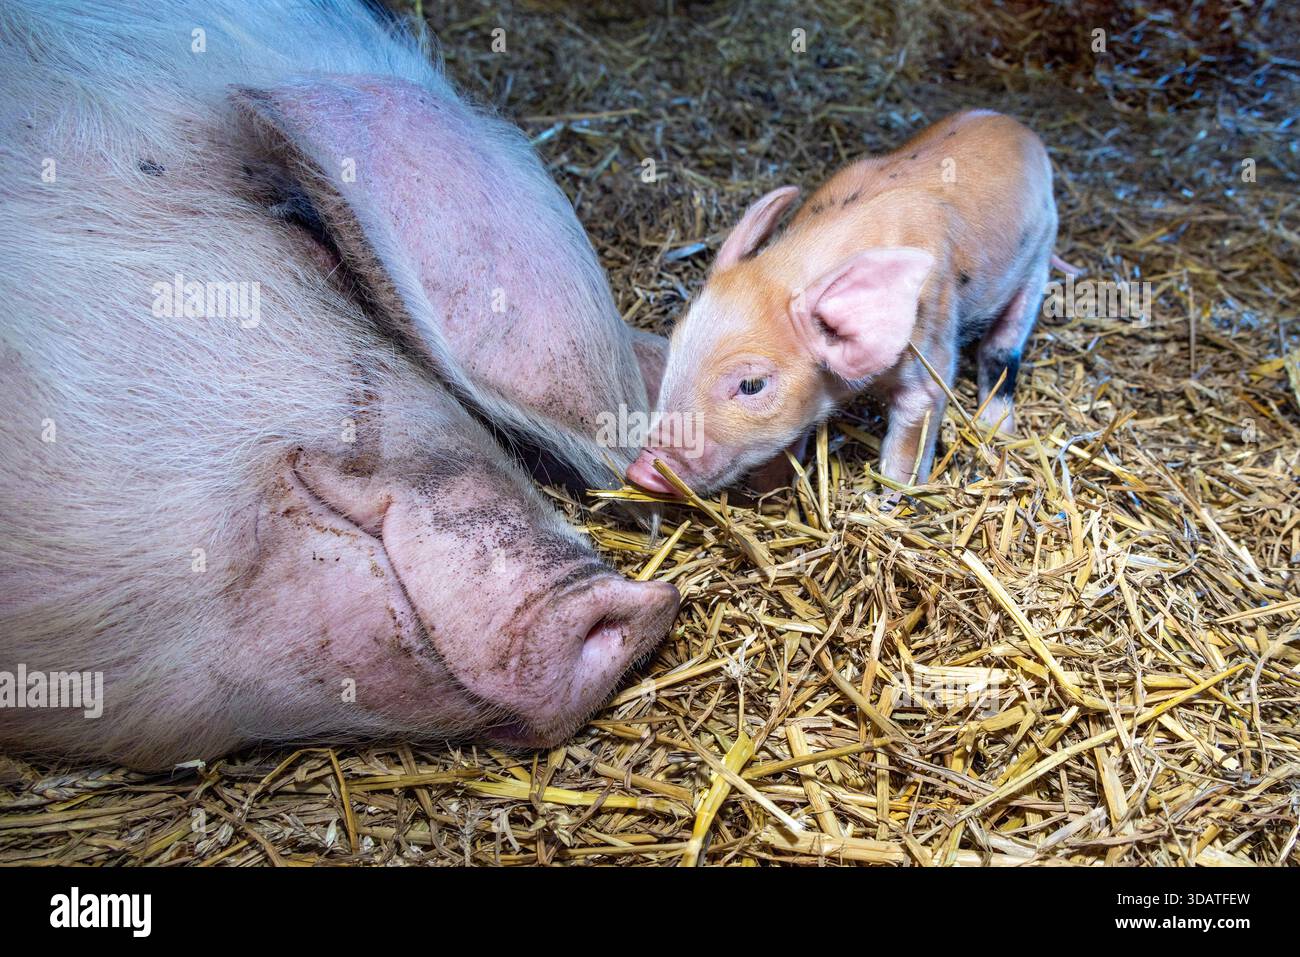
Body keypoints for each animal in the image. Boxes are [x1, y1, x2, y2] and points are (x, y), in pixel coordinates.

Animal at [627, 110, 1061, 496]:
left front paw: (892, 499)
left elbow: (913, 433)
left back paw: (998, 426)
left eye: (751, 385)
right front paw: (770, 490)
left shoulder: (931, 351)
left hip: (1039, 260)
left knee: (1002, 349)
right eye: (674, 351)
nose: (641, 470)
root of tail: (1014, 124)